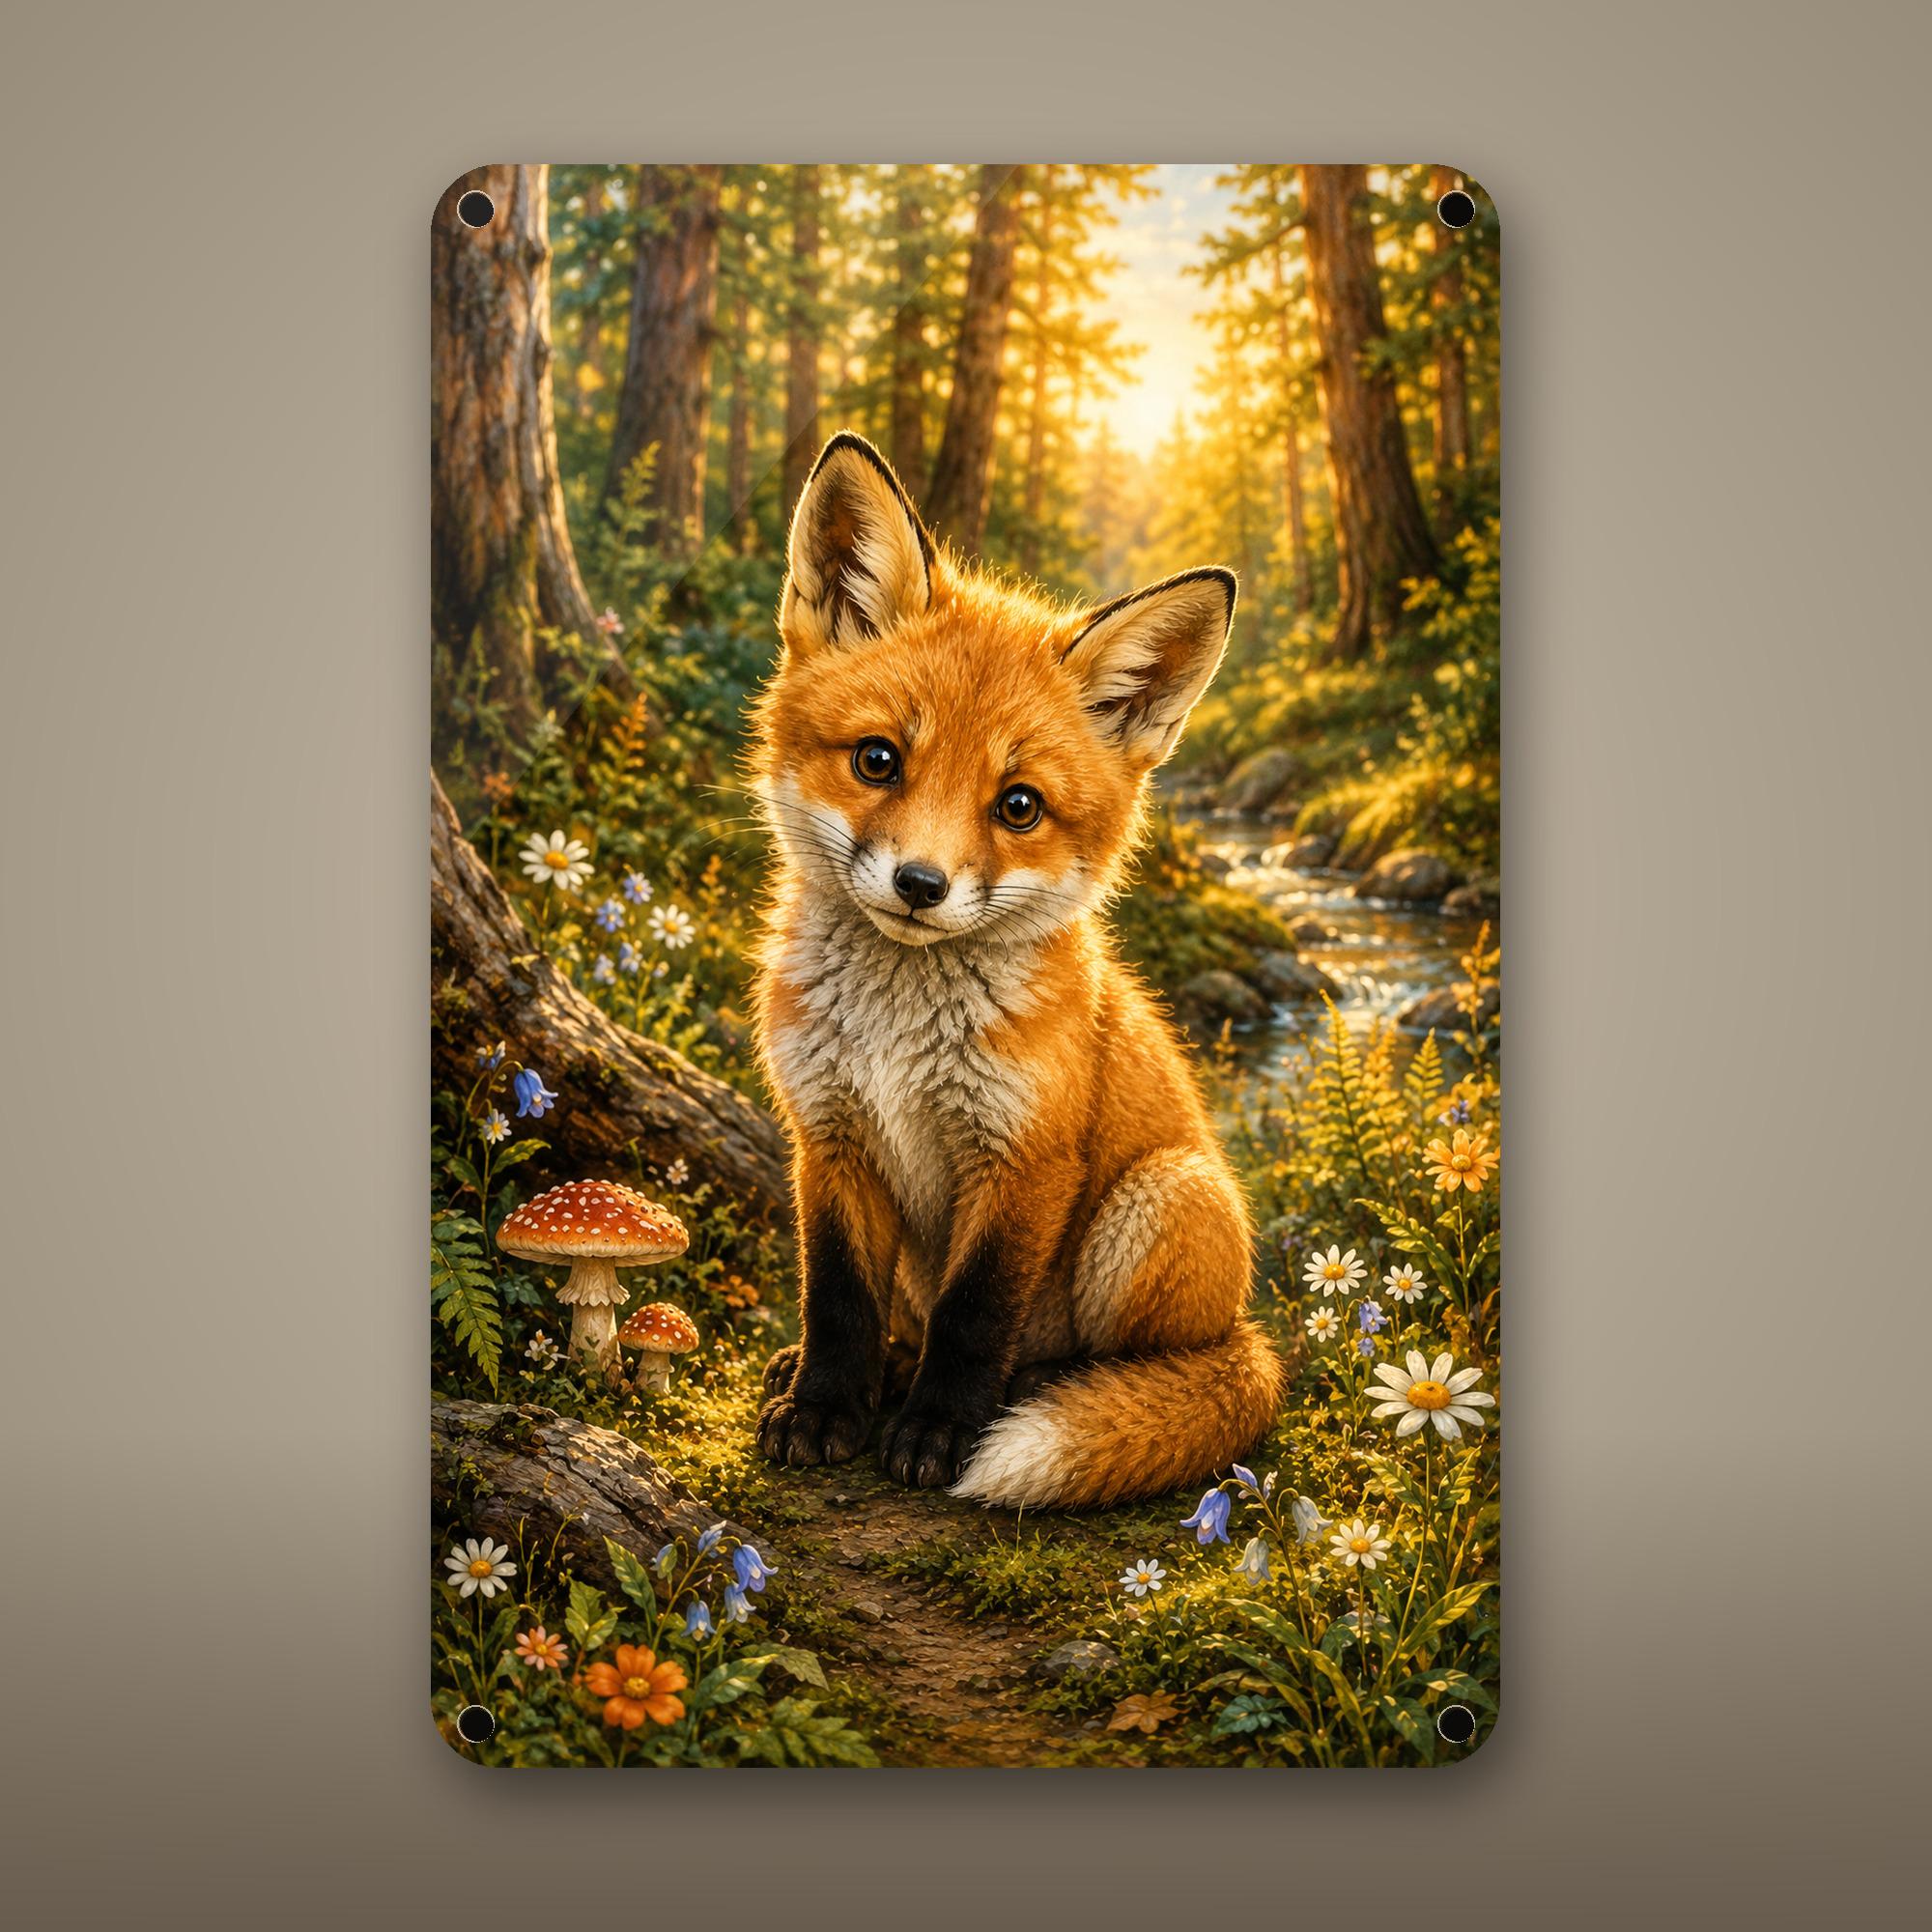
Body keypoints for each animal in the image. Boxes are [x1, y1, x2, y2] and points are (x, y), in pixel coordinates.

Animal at [748, 431, 1282, 1510]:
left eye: (1019, 806)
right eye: (876, 759)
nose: (920, 884)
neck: (897, 1043)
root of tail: (1252, 1337)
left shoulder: (1024, 1160)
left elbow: (973, 1316)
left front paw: (940, 1431)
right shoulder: (828, 1135)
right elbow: (836, 1298)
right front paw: (825, 1404)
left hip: (1160, 1200)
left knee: (1134, 1362)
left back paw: (1048, 1390)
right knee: (899, 1319)